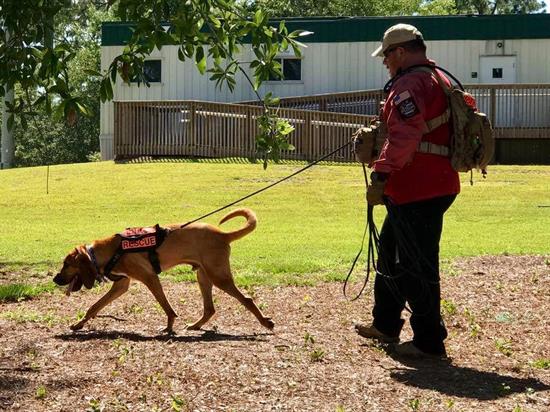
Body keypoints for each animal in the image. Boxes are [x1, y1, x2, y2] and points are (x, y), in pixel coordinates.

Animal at [54, 209, 274, 334]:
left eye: (66, 264)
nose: (55, 279)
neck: (109, 250)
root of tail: (223, 235)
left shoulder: (150, 278)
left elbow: (166, 307)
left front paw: (169, 327)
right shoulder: (121, 285)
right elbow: (95, 306)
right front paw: (79, 324)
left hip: (219, 277)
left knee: (247, 299)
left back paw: (265, 322)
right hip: (203, 276)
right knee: (210, 309)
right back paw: (195, 326)